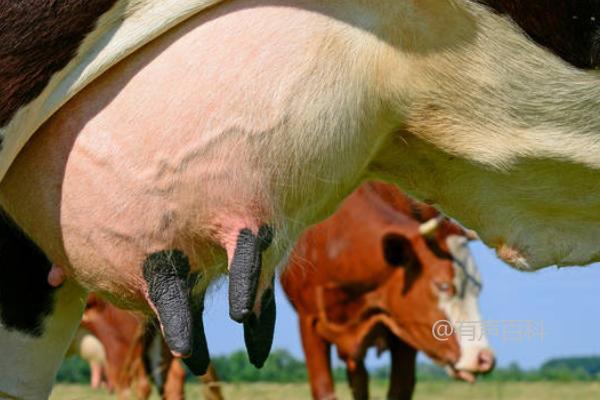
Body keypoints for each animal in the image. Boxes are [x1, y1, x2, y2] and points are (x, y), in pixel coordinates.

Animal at [282, 182, 492, 400]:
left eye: (478, 287)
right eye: (442, 285)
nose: (483, 358)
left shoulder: (406, 330)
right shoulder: (308, 321)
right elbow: (324, 389)